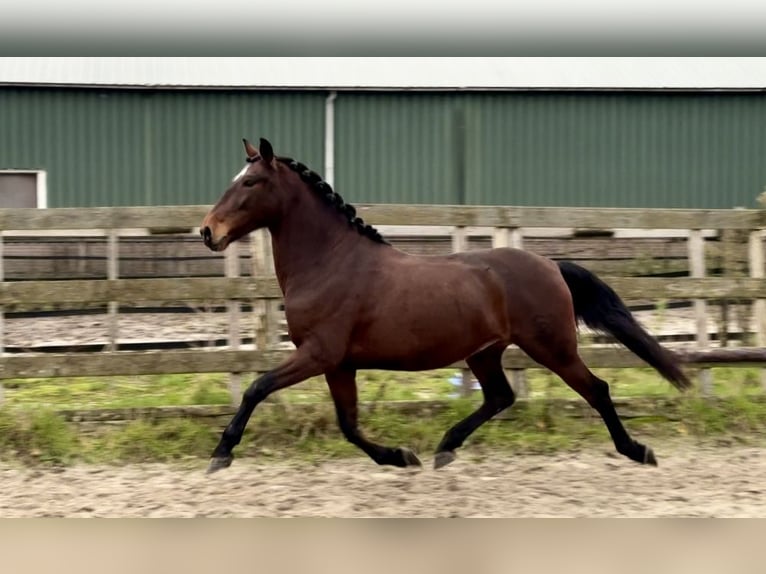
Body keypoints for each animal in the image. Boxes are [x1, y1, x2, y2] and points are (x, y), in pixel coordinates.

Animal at [201, 137, 692, 474]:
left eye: (250, 182)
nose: (208, 231)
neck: (331, 262)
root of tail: (550, 264)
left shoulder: (319, 354)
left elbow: (257, 387)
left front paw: (221, 453)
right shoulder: (339, 364)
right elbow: (348, 424)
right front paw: (400, 457)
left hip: (551, 347)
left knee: (596, 390)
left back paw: (637, 451)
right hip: (485, 353)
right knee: (500, 396)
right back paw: (444, 448)